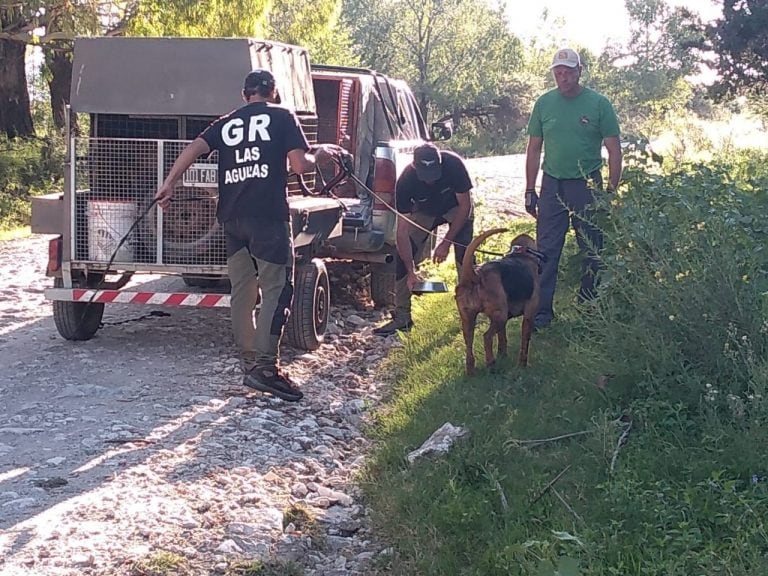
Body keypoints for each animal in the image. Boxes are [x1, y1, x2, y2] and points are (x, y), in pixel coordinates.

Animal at [452, 227, 544, 376]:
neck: (521, 255)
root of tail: (475, 275)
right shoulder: (528, 317)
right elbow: (524, 344)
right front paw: (522, 365)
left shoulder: (501, 320)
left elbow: (502, 339)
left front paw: (503, 356)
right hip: (500, 317)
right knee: (486, 337)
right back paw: (491, 363)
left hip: (469, 321)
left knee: (469, 346)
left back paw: (471, 371)